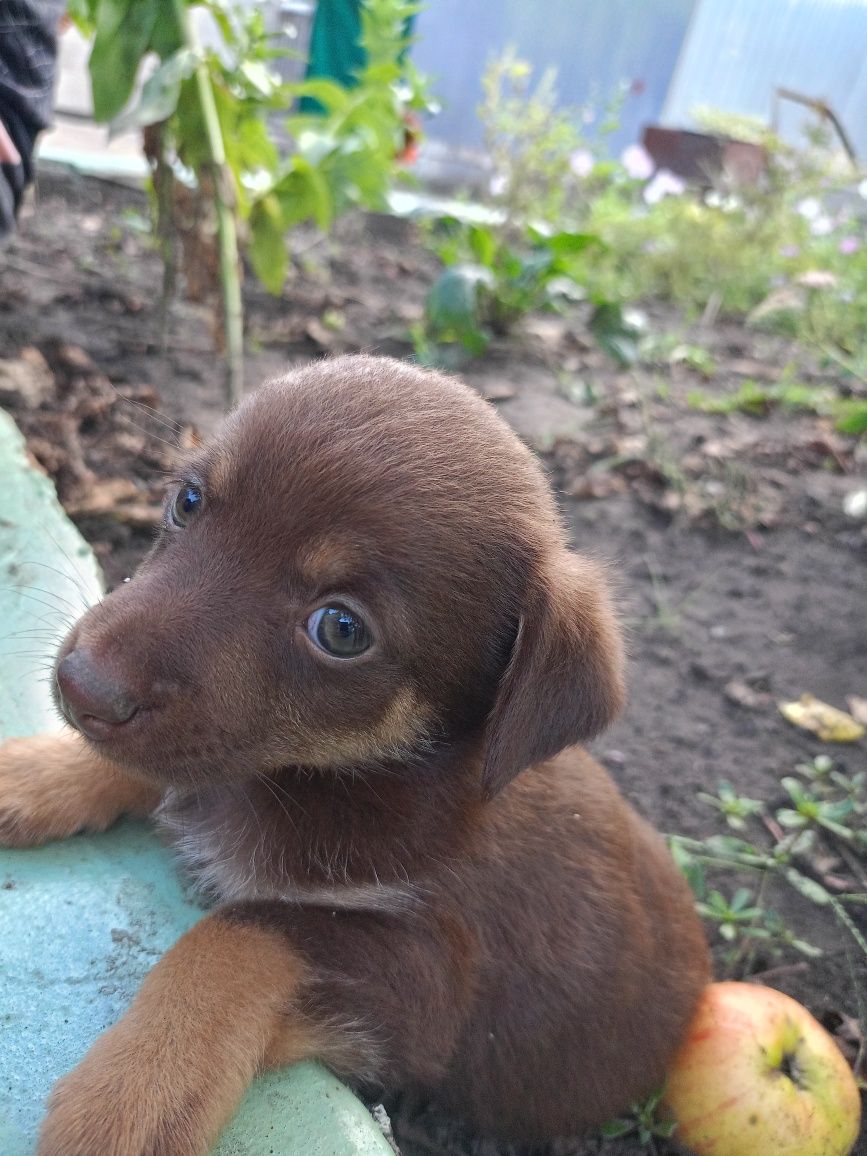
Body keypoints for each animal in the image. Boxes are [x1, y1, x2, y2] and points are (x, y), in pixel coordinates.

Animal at [0, 353, 707, 1156]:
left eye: (340, 629)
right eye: (188, 500)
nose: (81, 685)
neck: (337, 776)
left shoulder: (424, 983)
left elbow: (243, 935)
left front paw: (134, 1092)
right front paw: (30, 772)